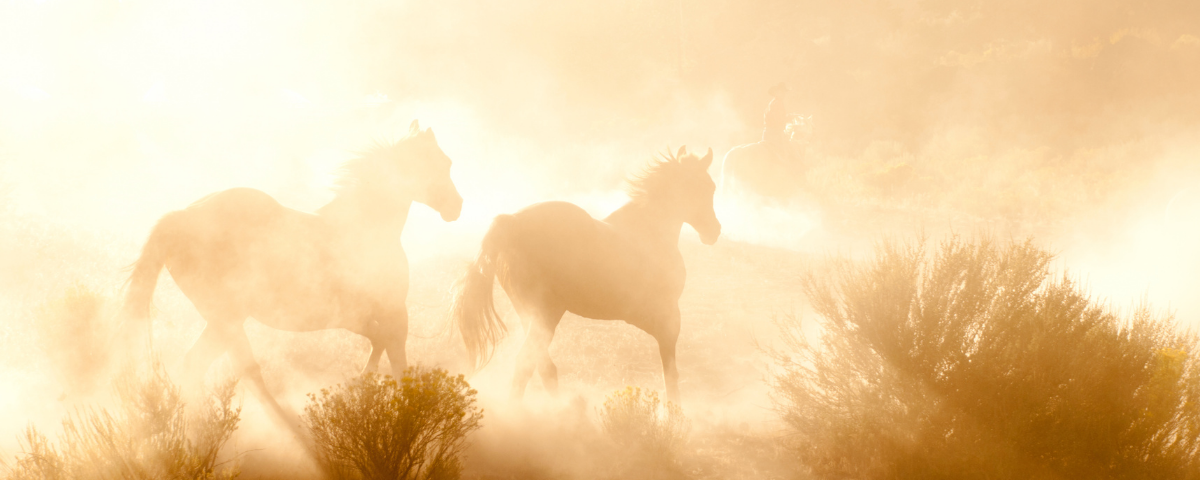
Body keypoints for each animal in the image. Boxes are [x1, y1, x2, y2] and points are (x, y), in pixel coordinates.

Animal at [120, 120, 462, 419]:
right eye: (440, 163)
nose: (456, 207)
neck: (364, 227)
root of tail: (180, 218)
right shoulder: (390, 312)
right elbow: (398, 360)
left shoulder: (359, 317)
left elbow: (380, 346)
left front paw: (361, 389)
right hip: (227, 317)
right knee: (225, 369)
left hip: (223, 319)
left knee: (199, 366)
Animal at [450, 146, 720, 402]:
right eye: (708, 187)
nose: (714, 231)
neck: (650, 232)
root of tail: (510, 222)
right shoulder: (668, 318)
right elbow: (671, 375)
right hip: (546, 313)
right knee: (526, 364)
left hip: (532, 314)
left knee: (543, 366)